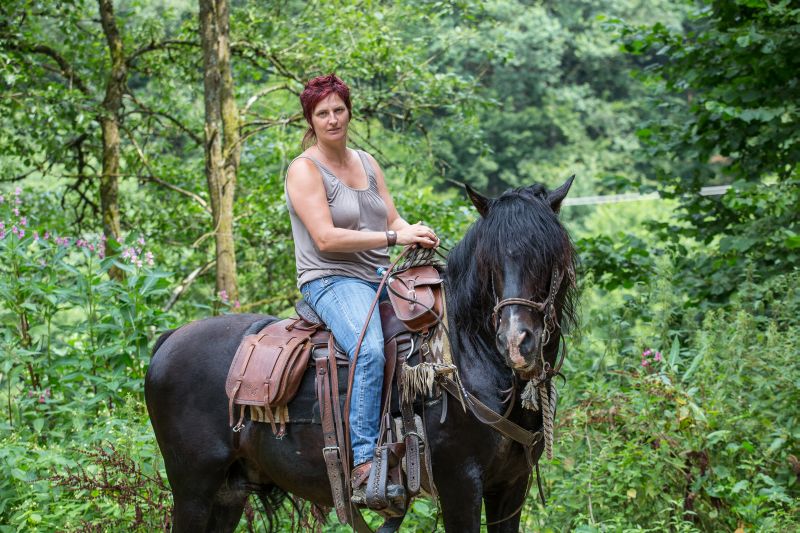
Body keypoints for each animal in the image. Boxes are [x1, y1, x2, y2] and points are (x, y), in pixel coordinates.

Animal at [147, 178, 580, 528]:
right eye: (490, 262)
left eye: (548, 255)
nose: (516, 341)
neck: (468, 355)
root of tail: (169, 340)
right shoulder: (461, 485)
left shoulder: (510, 487)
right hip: (193, 489)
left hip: (228, 494)